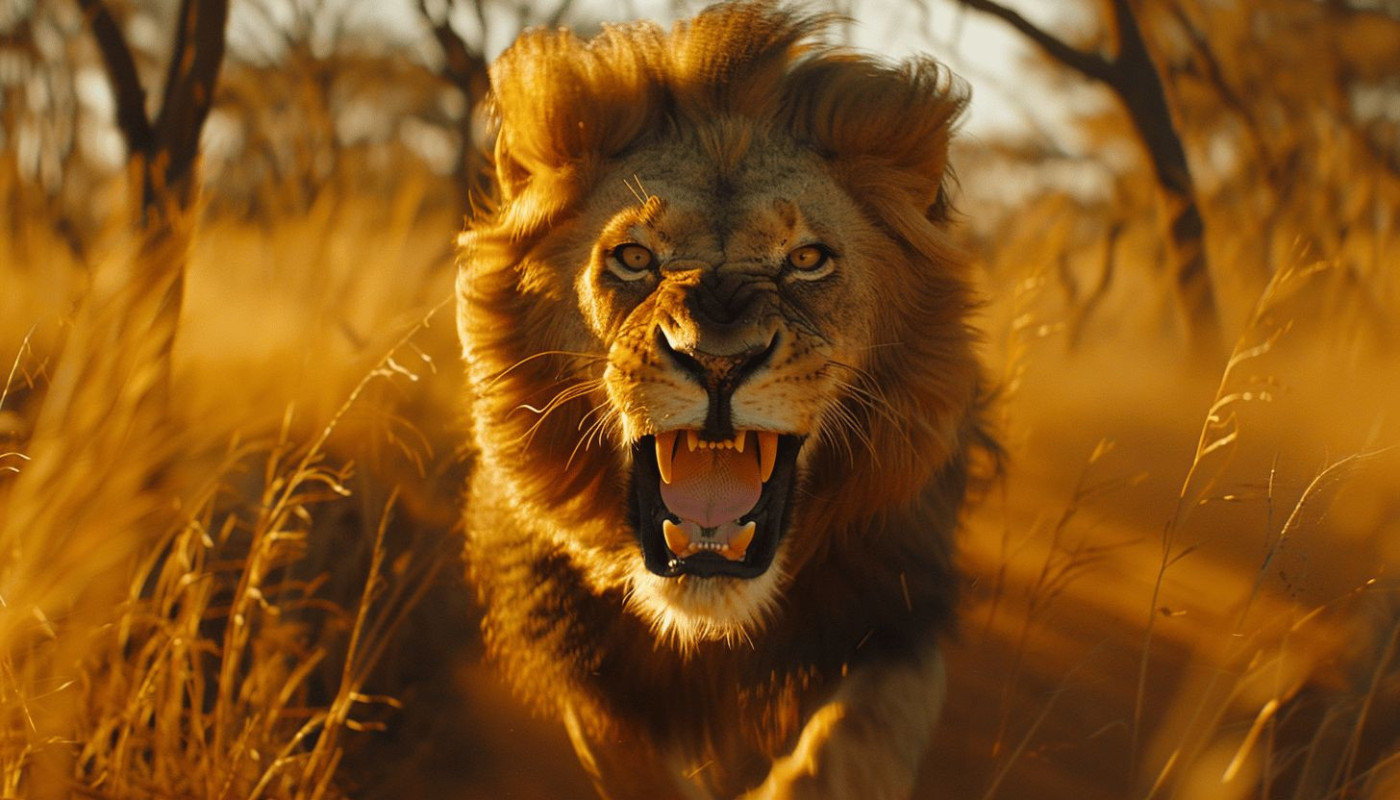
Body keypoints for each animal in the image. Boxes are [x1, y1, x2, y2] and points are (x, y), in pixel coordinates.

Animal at [455, 3, 992, 798]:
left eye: (807, 259)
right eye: (634, 258)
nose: (717, 360)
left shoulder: (895, 607)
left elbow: (856, 739)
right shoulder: (588, 667)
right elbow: (633, 760)